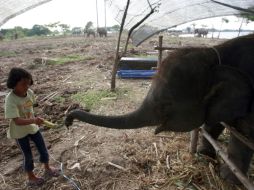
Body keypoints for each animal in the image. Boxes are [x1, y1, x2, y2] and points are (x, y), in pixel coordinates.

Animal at [65, 34, 254, 184]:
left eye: (166, 104)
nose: (68, 120)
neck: (216, 56)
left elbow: (244, 136)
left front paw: (227, 179)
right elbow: (215, 122)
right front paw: (204, 154)